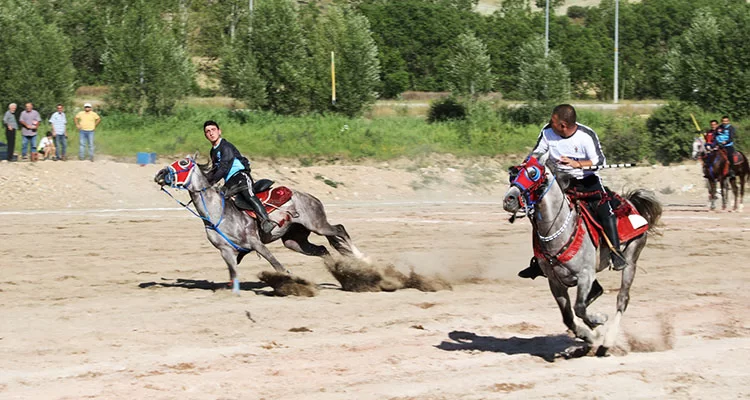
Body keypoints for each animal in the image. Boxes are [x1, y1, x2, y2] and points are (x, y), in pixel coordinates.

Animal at [156, 155, 370, 292]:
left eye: (183, 162)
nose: (159, 174)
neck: (218, 213)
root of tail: (309, 196)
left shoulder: (256, 243)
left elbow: (277, 265)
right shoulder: (226, 251)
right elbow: (233, 274)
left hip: (317, 224)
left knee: (340, 230)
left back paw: (363, 259)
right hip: (294, 241)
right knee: (323, 250)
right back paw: (340, 272)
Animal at [506, 153, 664, 356]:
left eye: (533, 173)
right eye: (513, 173)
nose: (508, 199)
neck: (557, 229)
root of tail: (631, 202)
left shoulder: (585, 275)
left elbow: (579, 308)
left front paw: (598, 322)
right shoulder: (555, 281)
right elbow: (568, 316)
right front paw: (588, 335)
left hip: (631, 257)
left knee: (622, 298)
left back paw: (606, 343)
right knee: (598, 292)